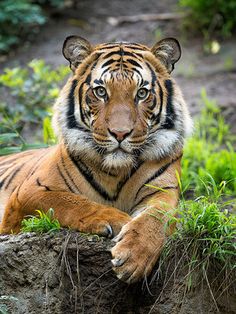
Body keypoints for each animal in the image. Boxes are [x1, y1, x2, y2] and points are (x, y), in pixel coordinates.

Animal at [0, 35, 192, 284]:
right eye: (101, 92)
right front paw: (117, 220)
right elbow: (70, 202)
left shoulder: (163, 192)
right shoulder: (30, 191)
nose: (120, 133)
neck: (115, 171)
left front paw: (133, 258)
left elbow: (156, 218)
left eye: (142, 93)